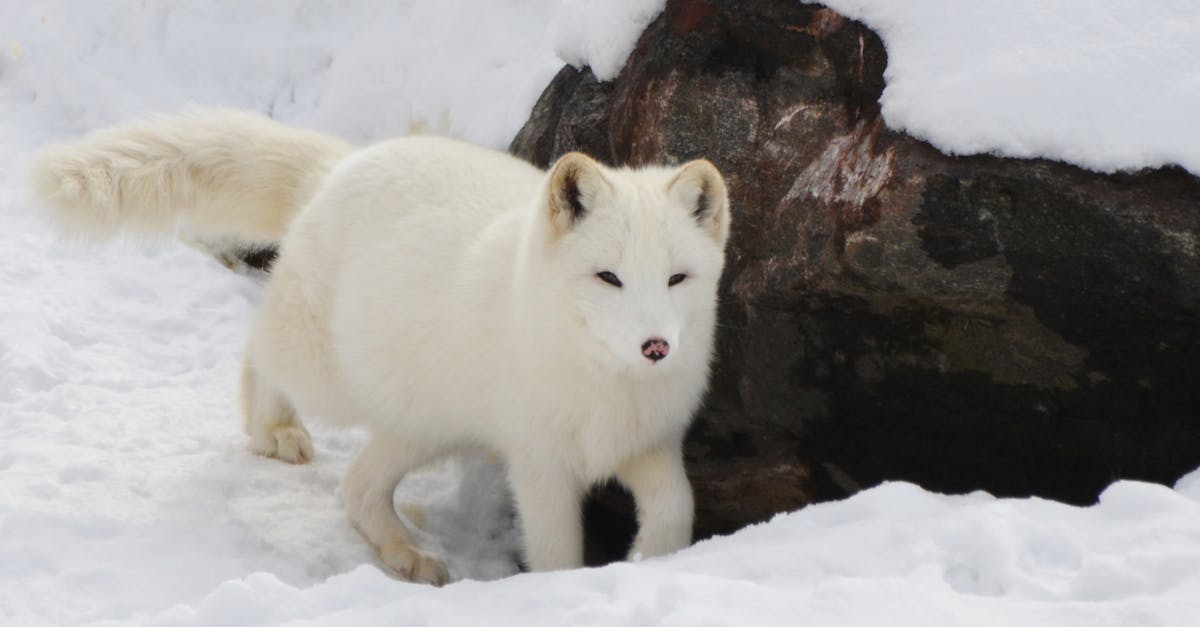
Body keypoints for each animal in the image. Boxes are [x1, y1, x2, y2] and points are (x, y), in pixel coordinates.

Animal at [29, 109, 731, 585]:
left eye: (677, 278)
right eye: (608, 277)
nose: (656, 347)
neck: (605, 386)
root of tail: (340, 167)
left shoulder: (650, 444)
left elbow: (677, 509)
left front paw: (655, 562)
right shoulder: (541, 465)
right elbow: (557, 555)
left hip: (424, 423)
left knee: (358, 489)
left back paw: (406, 554)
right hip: (331, 380)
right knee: (259, 350)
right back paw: (273, 429)